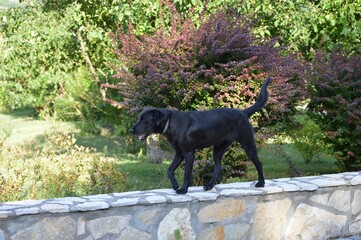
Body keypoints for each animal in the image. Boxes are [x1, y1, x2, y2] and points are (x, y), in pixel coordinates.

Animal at [129, 77, 270, 195]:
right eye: (138, 118)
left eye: (144, 120)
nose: (131, 130)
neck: (170, 122)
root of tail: (243, 112)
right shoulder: (179, 152)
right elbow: (169, 170)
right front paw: (175, 185)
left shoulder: (189, 153)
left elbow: (187, 174)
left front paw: (183, 190)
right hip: (218, 148)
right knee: (218, 167)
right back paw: (209, 185)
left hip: (248, 143)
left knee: (258, 163)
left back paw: (261, 183)